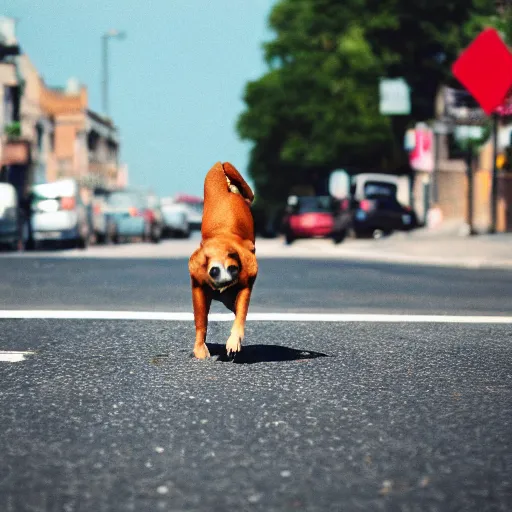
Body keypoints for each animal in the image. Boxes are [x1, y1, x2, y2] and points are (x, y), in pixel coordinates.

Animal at [188, 162, 258, 358]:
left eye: (233, 268)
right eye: (214, 270)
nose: (226, 278)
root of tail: (228, 190)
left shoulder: (245, 281)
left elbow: (241, 313)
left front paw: (234, 342)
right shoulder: (198, 282)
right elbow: (201, 320)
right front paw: (200, 349)